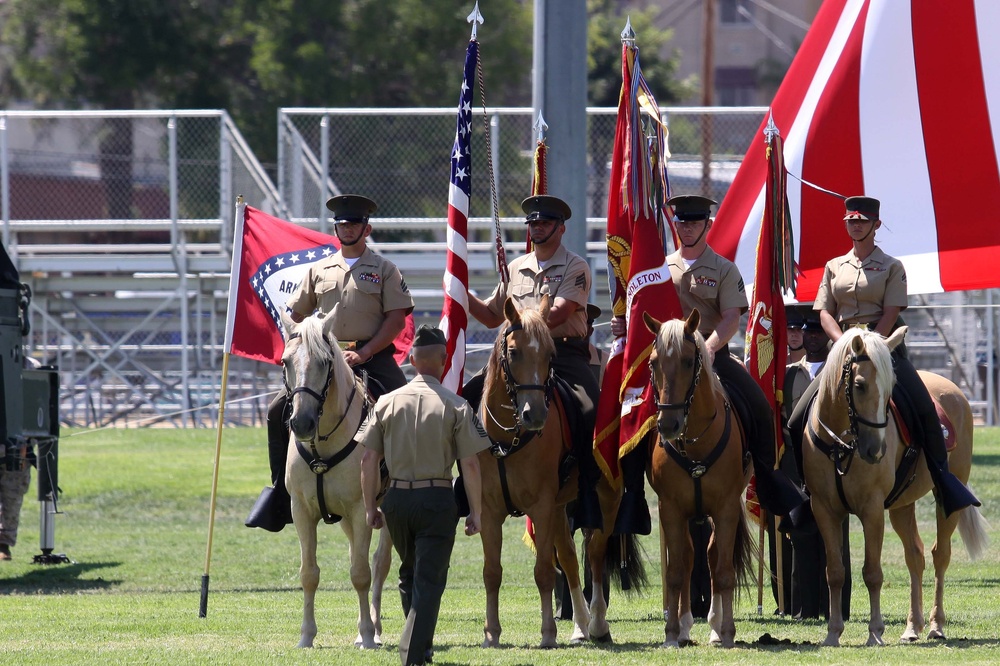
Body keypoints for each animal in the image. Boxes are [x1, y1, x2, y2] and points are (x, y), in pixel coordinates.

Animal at [282, 312, 394, 648]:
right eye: (285, 362)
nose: (301, 422)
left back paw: (375, 628)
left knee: (379, 563)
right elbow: (309, 573)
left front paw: (367, 634)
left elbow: (361, 573)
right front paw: (306, 635)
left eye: (323, 361)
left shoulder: (361, 510)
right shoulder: (302, 512)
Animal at [474, 294, 632, 644]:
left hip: (607, 495)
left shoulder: (542, 506)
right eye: (514, 352)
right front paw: (492, 632)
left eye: (550, 355)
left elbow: (544, 571)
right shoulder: (490, 511)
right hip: (561, 507)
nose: (534, 415)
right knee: (571, 559)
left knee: (595, 553)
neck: (508, 438)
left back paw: (597, 623)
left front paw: (547, 633)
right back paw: (580, 626)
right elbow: (492, 572)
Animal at [644, 308, 752, 644]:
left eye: (688, 361)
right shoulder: (671, 509)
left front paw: (726, 631)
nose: (668, 424)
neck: (695, 444)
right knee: (691, 557)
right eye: (653, 362)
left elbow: (724, 570)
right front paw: (671, 632)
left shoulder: (727, 508)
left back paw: (716, 626)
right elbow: (676, 571)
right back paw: (685, 625)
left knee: (714, 555)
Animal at [800, 324, 988, 644]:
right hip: (902, 505)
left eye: (890, 390)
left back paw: (936, 626)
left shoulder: (872, 509)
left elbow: (872, 572)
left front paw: (875, 632)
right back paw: (913, 627)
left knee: (940, 555)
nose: (876, 450)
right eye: (859, 385)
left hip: (946, 499)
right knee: (915, 556)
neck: (841, 444)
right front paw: (833, 633)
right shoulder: (824, 509)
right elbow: (835, 572)